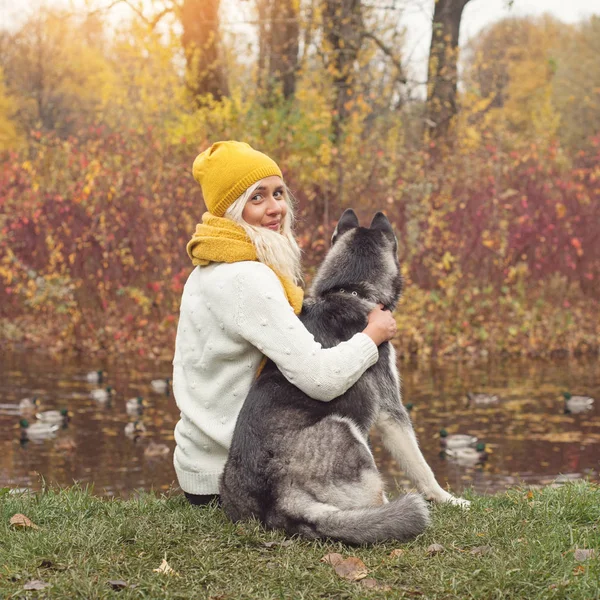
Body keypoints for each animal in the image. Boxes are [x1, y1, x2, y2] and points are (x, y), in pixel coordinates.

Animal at [220, 210, 468, 544]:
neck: (351, 289)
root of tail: (279, 498)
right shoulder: (391, 411)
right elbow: (421, 466)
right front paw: (448, 499)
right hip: (346, 429)